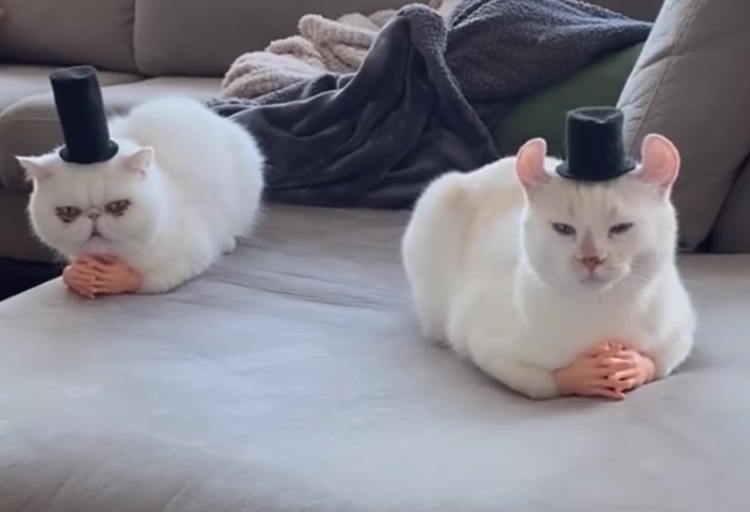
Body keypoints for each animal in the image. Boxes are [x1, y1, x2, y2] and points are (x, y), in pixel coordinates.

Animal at [17, 96, 265, 294]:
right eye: (68, 211)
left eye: (117, 206)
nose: (94, 216)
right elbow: (70, 272)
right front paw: (78, 276)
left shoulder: (192, 256)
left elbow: (146, 280)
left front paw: (118, 278)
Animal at [401, 134, 696, 399]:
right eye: (563, 229)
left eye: (621, 227)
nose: (591, 258)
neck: (599, 312)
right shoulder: (487, 346)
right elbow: (540, 382)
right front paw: (581, 375)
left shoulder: (681, 333)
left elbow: (660, 362)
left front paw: (633, 365)